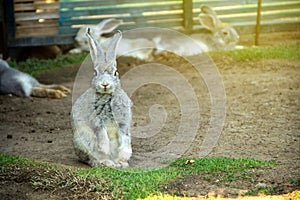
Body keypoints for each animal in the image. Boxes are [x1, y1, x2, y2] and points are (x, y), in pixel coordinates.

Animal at [71, 28, 132, 168]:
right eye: (95, 73)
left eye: (115, 72)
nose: (105, 84)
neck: (106, 96)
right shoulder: (96, 121)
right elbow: (101, 134)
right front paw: (105, 148)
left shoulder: (123, 120)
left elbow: (124, 135)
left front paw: (125, 155)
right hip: (84, 140)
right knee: (92, 159)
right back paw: (107, 162)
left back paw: (121, 163)